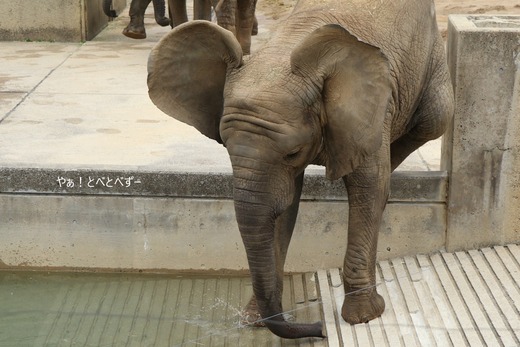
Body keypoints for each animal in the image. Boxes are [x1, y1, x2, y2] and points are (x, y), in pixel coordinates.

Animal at [148, 0, 452, 340]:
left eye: (292, 152)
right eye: (224, 146)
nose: (318, 328)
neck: (284, 49)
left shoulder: (371, 109)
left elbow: (369, 188)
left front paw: (364, 316)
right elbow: (284, 206)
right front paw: (256, 318)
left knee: (434, 120)